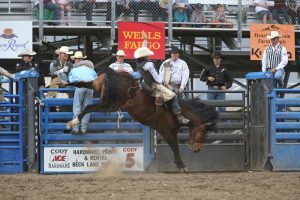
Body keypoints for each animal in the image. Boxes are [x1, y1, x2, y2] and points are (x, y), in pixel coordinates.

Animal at [65, 67, 218, 170]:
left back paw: (65, 84)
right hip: (109, 104)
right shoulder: (166, 132)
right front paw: (181, 165)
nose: (198, 149)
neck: (175, 112)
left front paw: (179, 164)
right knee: (88, 107)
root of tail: (115, 74)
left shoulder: (171, 132)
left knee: (82, 84)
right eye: (203, 134)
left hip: (98, 86)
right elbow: (174, 147)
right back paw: (73, 122)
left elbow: (175, 146)